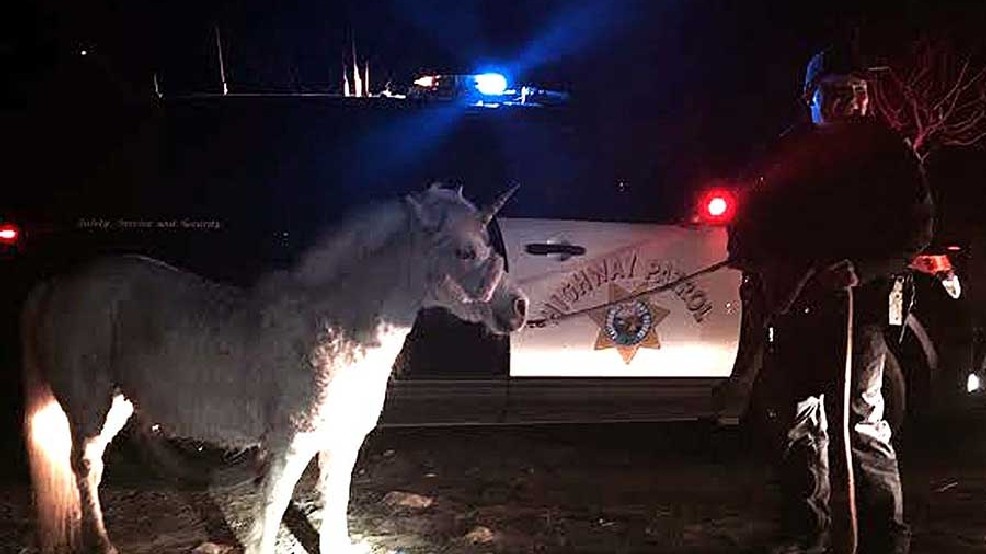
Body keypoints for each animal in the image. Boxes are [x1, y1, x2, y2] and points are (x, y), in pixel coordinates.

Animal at [21, 183, 524, 548]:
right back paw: (102, 543)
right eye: (463, 251)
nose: (517, 308)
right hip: (90, 406)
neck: (335, 332)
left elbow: (335, 507)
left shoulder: (343, 444)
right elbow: (272, 510)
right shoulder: (290, 448)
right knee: (86, 468)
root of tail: (57, 283)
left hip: (121, 403)